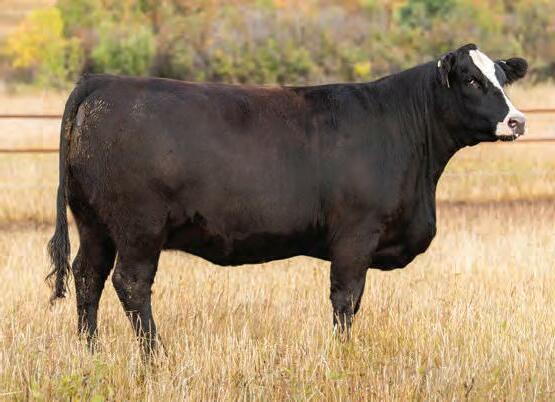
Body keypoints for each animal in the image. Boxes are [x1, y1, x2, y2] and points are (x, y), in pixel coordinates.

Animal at [47, 43, 528, 354]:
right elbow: (346, 300)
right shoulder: (356, 234)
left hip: (94, 222)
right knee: (130, 283)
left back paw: (90, 350)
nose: (517, 121)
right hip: (139, 228)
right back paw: (156, 356)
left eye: (503, 78)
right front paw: (342, 357)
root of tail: (103, 82)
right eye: (471, 79)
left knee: (87, 277)